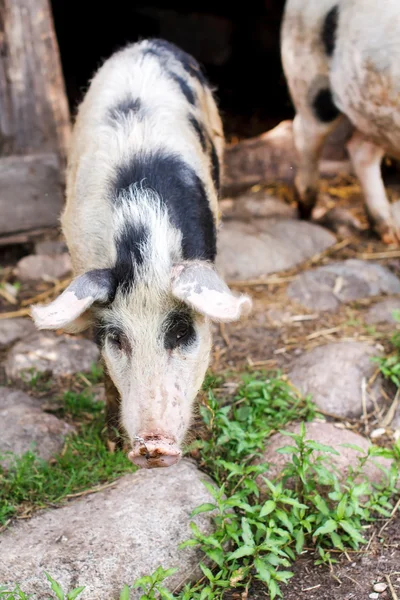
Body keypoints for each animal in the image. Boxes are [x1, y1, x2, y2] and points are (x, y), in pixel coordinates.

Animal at [31, 38, 252, 468]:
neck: (143, 243)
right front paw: (110, 442)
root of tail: (150, 42)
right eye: (117, 339)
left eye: (181, 332)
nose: (153, 446)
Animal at [280, 0, 400, 245]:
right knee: (304, 134)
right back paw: (306, 210)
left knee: (361, 151)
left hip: (374, 112)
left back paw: (389, 234)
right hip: (308, 79)